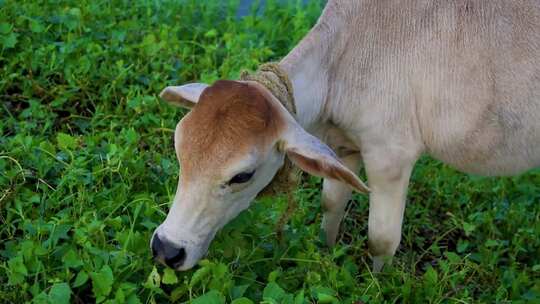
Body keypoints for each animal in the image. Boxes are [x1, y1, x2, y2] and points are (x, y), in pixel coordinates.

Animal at [151, 0, 540, 270]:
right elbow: (331, 204)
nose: (166, 249)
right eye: (179, 150)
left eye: (242, 176)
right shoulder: (342, 145)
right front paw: (326, 251)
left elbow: (381, 239)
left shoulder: (390, 156)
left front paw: (378, 282)